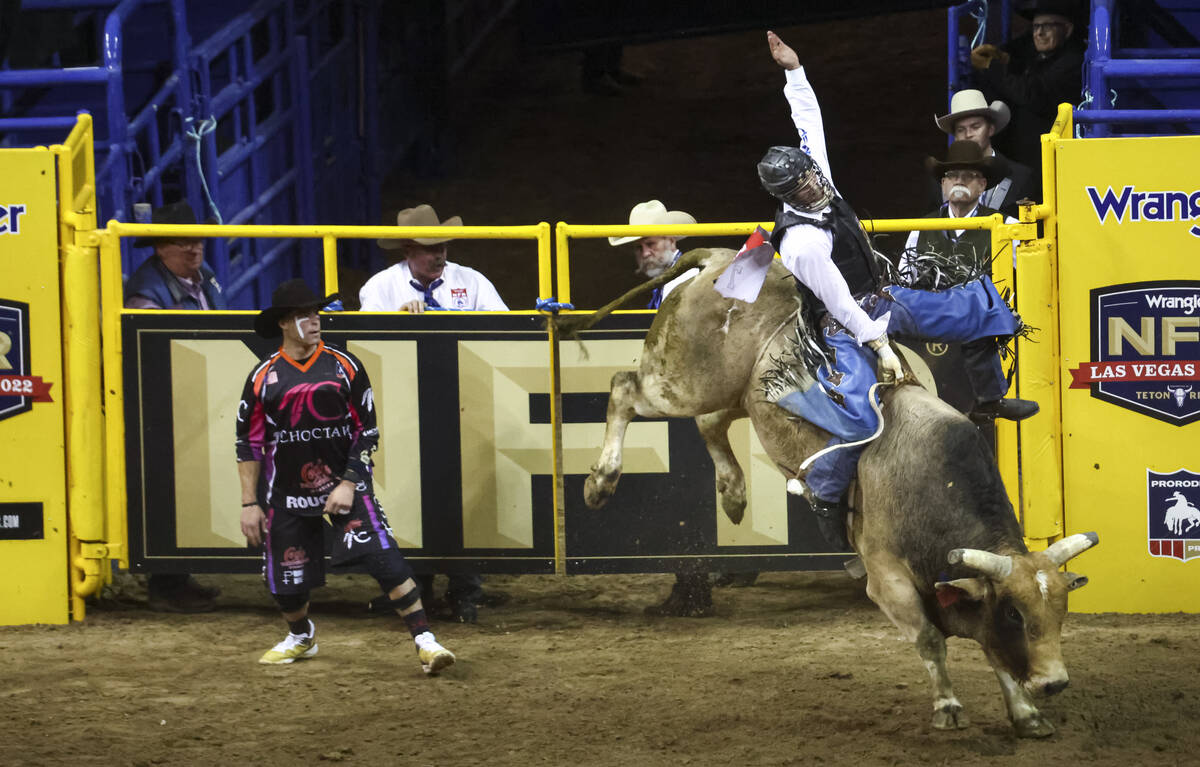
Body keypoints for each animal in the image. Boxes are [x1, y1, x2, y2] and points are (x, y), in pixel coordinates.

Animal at [566, 246, 1099, 739]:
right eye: (1014, 613)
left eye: (1060, 610)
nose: (1054, 682)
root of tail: (720, 256)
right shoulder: (888, 580)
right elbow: (932, 640)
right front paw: (948, 707)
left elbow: (995, 655)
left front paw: (1026, 713)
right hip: (681, 381)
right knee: (625, 389)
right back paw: (600, 482)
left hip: (736, 396)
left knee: (709, 423)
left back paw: (733, 493)